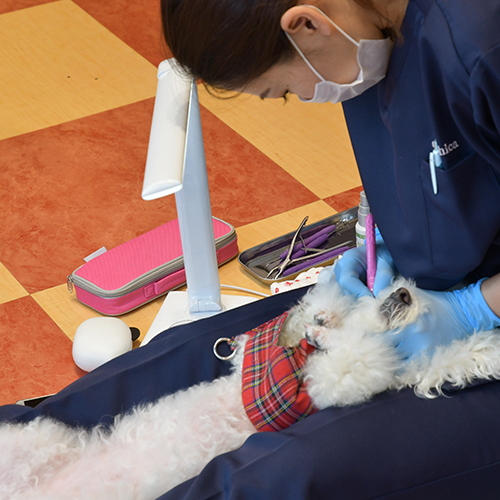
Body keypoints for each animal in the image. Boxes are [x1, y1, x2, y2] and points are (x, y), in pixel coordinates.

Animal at [0, 280, 500, 498]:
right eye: (382, 289)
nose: (402, 294)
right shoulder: (304, 373)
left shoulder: (353, 377)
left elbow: (428, 363)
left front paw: (485, 354)